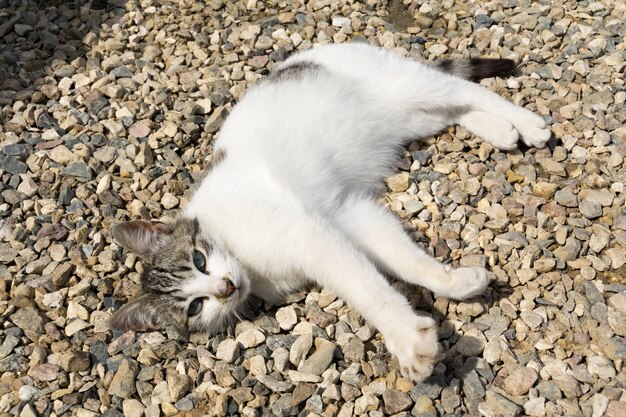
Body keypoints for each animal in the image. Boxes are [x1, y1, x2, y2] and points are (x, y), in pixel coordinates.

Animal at [109, 42, 548, 380]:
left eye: (199, 259)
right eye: (196, 307)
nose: (225, 288)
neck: (243, 259)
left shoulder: (309, 235)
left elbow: (367, 291)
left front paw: (407, 338)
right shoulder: (346, 215)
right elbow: (404, 261)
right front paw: (457, 282)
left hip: (406, 86)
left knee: (465, 89)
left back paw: (529, 123)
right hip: (413, 120)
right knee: (454, 109)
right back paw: (502, 131)